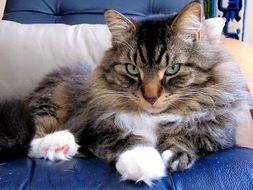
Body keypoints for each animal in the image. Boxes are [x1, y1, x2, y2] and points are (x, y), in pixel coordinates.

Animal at [0, 1, 250, 186]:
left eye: (172, 69)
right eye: (132, 69)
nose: (151, 97)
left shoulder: (220, 136)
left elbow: (189, 135)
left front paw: (173, 155)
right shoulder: (95, 129)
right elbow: (127, 138)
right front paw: (144, 163)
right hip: (52, 103)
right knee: (32, 141)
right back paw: (60, 144)